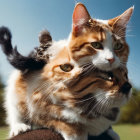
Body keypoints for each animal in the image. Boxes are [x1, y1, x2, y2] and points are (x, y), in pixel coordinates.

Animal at [0, 2, 133, 140]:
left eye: (118, 46)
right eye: (96, 45)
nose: (111, 59)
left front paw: (109, 130)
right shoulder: (39, 99)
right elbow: (56, 119)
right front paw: (75, 132)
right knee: (13, 107)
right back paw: (18, 126)